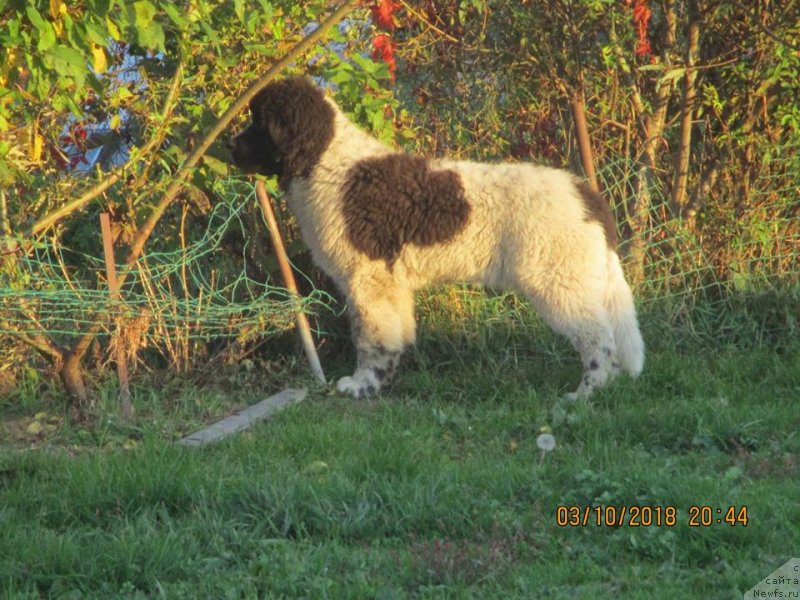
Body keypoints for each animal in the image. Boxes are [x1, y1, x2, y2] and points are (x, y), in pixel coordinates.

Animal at [231, 77, 644, 400]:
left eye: (258, 123)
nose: (227, 147)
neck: (326, 162)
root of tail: (585, 193)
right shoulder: (389, 283)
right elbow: (392, 335)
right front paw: (383, 379)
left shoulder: (367, 277)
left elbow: (368, 337)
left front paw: (363, 384)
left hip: (557, 278)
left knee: (599, 340)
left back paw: (585, 394)